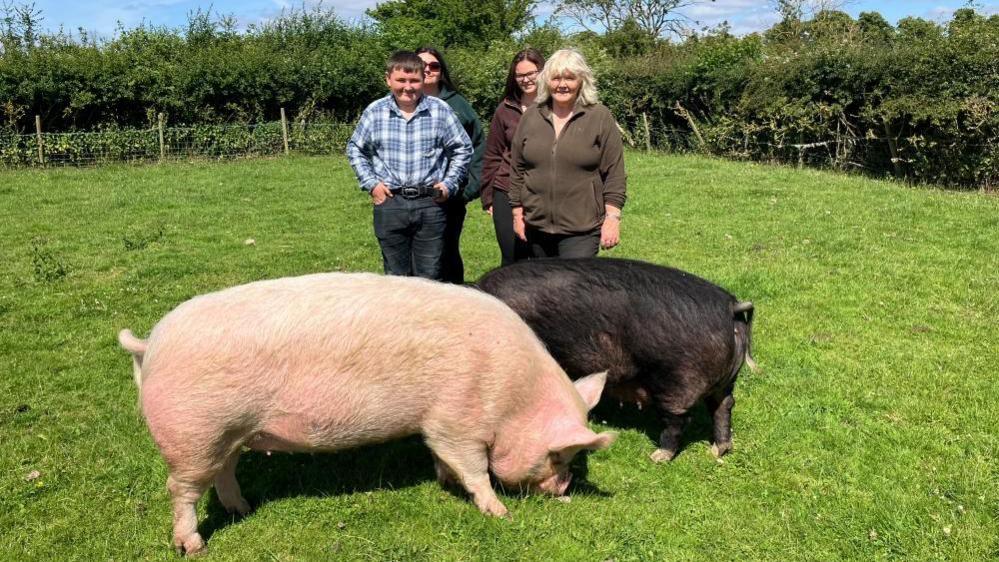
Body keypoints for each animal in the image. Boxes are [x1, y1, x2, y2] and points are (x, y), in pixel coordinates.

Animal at [119, 270, 616, 552]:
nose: (564, 489)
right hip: (194, 435)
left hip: (227, 435)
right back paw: (193, 545)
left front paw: (443, 482)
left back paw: (243, 509)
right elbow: (474, 469)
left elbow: (443, 458)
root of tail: (152, 342)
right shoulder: (457, 419)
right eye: (560, 455)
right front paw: (500, 514)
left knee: (223, 473)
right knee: (181, 490)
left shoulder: (437, 425)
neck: (512, 396)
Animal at [478, 258, 756, 460]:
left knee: (679, 420)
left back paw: (657, 456)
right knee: (724, 406)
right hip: (725, 380)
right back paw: (719, 450)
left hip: (677, 377)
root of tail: (730, 307)